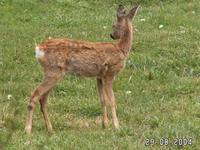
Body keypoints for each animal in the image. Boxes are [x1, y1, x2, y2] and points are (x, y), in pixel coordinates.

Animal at [25, 4, 140, 134]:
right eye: (113, 24)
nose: (112, 35)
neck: (120, 49)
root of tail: (38, 49)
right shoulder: (109, 73)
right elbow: (112, 101)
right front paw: (117, 127)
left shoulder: (99, 76)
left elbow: (103, 100)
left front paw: (105, 125)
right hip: (53, 71)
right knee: (35, 95)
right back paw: (28, 130)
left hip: (52, 73)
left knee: (43, 99)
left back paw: (50, 129)